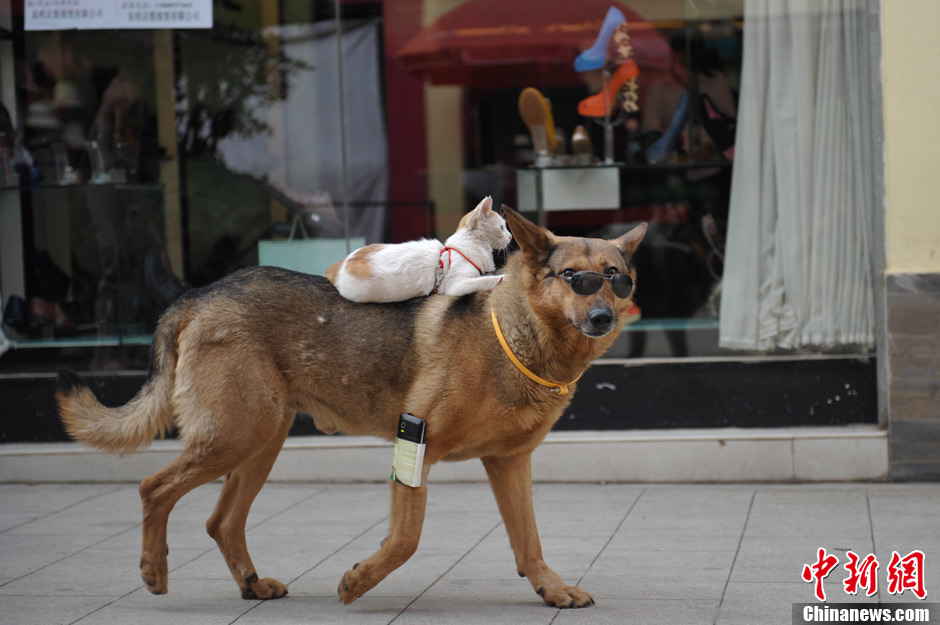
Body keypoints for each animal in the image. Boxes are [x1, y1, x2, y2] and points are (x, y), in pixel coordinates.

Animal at [57, 207, 648, 608]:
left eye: (617, 279)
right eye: (575, 278)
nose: (603, 318)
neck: (512, 335)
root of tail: (199, 295)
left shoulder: (509, 464)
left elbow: (528, 542)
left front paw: (550, 588)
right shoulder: (416, 443)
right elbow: (405, 539)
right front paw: (359, 580)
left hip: (259, 443)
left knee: (221, 521)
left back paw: (250, 583)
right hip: (234, 437)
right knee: (153, 488)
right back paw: (154, 570)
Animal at [326, 195, 510, 302]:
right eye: (502, 227)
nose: (510, 237)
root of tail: (339, 265)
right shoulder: (456, 284)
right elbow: (485, 280)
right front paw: (503, 277)